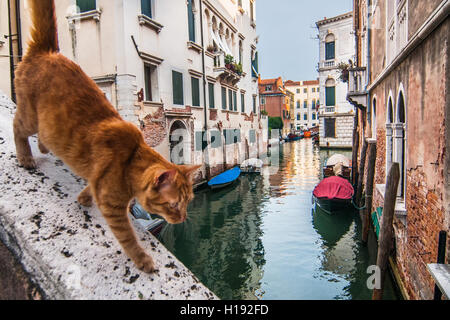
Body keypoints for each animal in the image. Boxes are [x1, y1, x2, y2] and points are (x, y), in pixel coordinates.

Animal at [13, 0, 200, 272]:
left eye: (187, 203)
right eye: (174, 205)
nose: (184, 217)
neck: (131, 162)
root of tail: (46, 52)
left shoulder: (99, 181)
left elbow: (91, 186)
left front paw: (84, 197)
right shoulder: (112, 207)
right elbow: (128, 237)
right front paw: (142, 260)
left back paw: (45, 147)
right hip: (29, 115)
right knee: (18, 128)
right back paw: (25, 157)